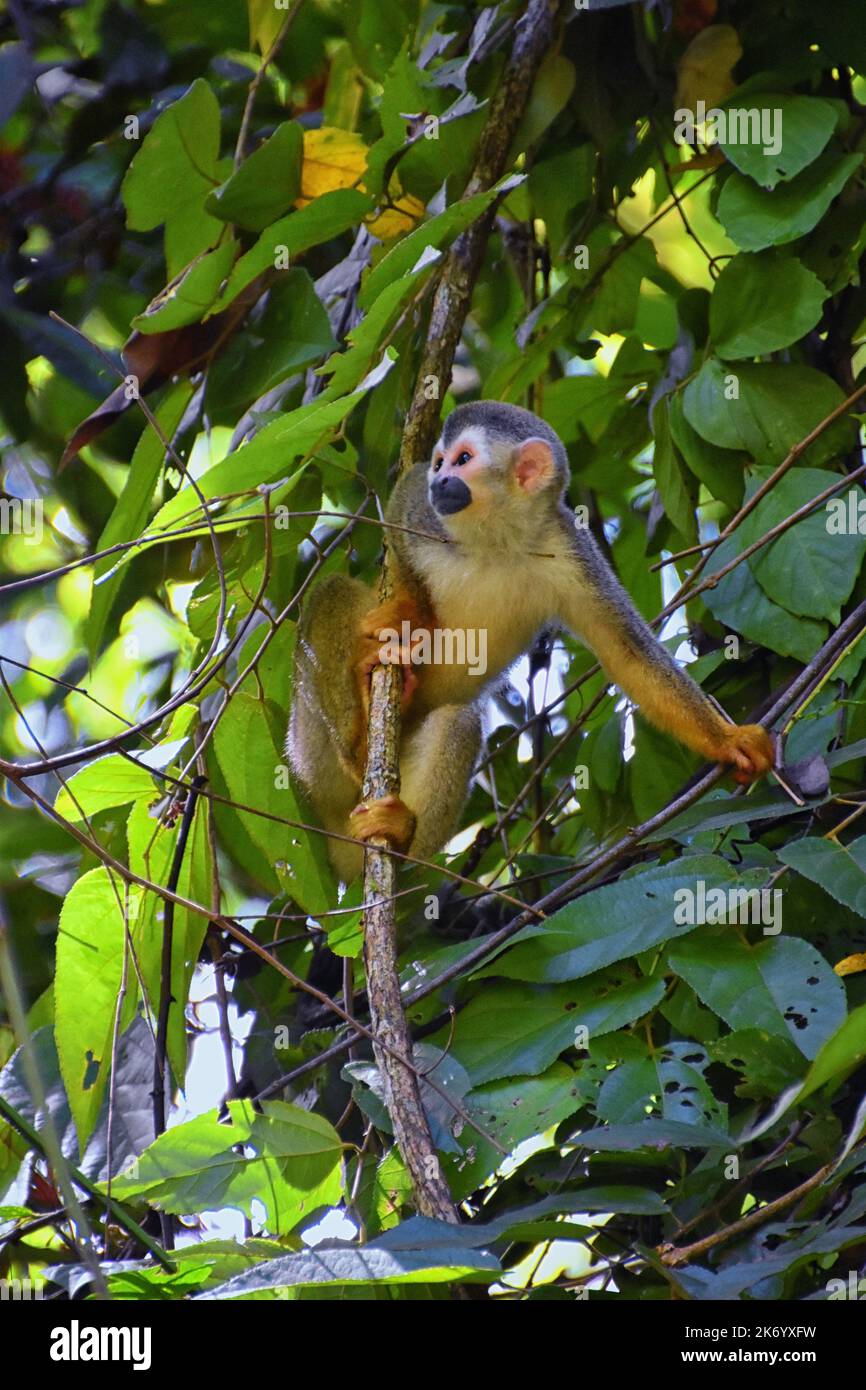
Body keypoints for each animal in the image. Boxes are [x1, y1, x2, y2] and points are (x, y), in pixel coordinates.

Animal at [287, 401, 775, 882]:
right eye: (440, 462)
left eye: (463, 460)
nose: (439, 481)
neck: (494, 537)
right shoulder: (426, 518)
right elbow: (398, 517)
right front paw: (407, 613)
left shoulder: (570, 550)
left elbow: (627, 652)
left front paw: (727, 740)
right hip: (310, 755)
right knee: (332, 591)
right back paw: (358, 741)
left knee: (459, 723)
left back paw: (401, 837)